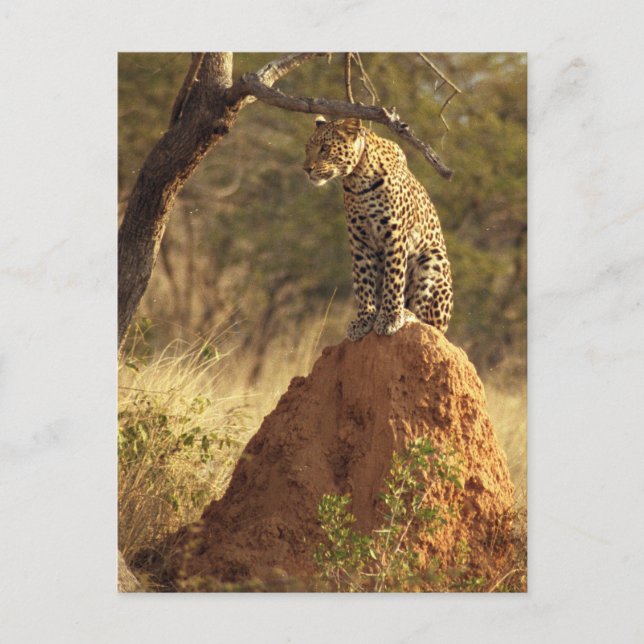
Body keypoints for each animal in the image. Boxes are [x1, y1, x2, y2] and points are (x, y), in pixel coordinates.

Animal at [303, 115, 453, 341]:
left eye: (325, 148)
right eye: (307, 148)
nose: (306, 169)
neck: (357, 179)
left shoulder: (395, 235)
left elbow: (394, 277)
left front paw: (390, 318)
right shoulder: (359, 239)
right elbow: (364, 281)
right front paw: (364, 320)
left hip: (434, 260)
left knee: (428, 321)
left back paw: (407, 313)